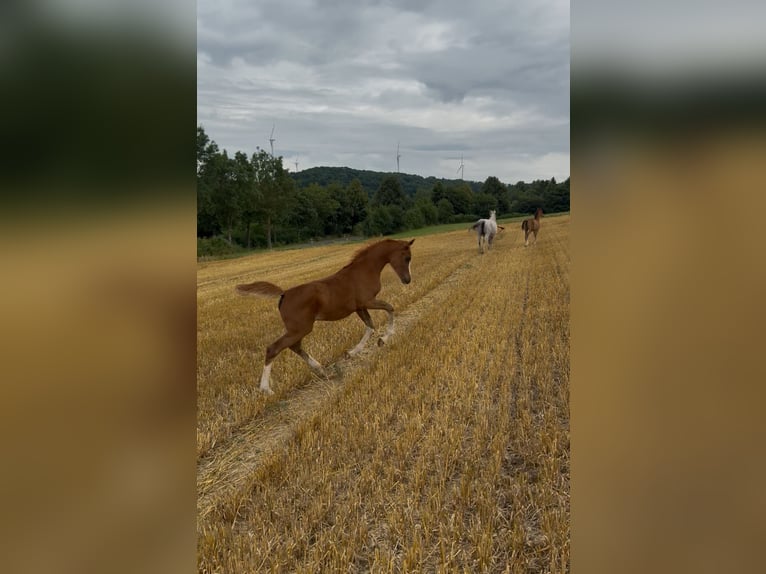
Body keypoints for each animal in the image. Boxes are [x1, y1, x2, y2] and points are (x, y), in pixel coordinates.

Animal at [235, 238, 415, 395]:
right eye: (407, 258)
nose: (407, 280)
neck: (364, 270)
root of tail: (284, 294)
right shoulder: (368, 301)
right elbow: (390, 308)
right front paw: (384, 338)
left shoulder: (359, 307)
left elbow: (370, 326)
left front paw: (352, 352)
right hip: (301, 328)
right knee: (274, 348)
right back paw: (266, 389)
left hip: (297, 329)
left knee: (295, 346)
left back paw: (322, 371)